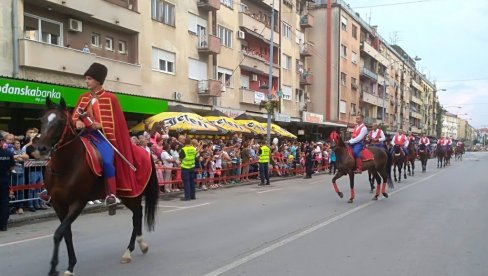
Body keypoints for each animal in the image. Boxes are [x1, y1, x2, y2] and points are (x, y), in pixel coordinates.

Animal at [34, 99, 160, 276]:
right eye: (42, 120)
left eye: (60, 121)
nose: (41, 148)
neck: (65, 166)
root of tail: (145, 151)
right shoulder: (59, 204)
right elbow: (66, 233)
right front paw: (68, 265)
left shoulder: (77, 203)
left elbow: (58, 233)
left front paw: (56, 267)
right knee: (137, 214)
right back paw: (139, 246)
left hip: (132, 194)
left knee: (137, 215)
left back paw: (130, 250)